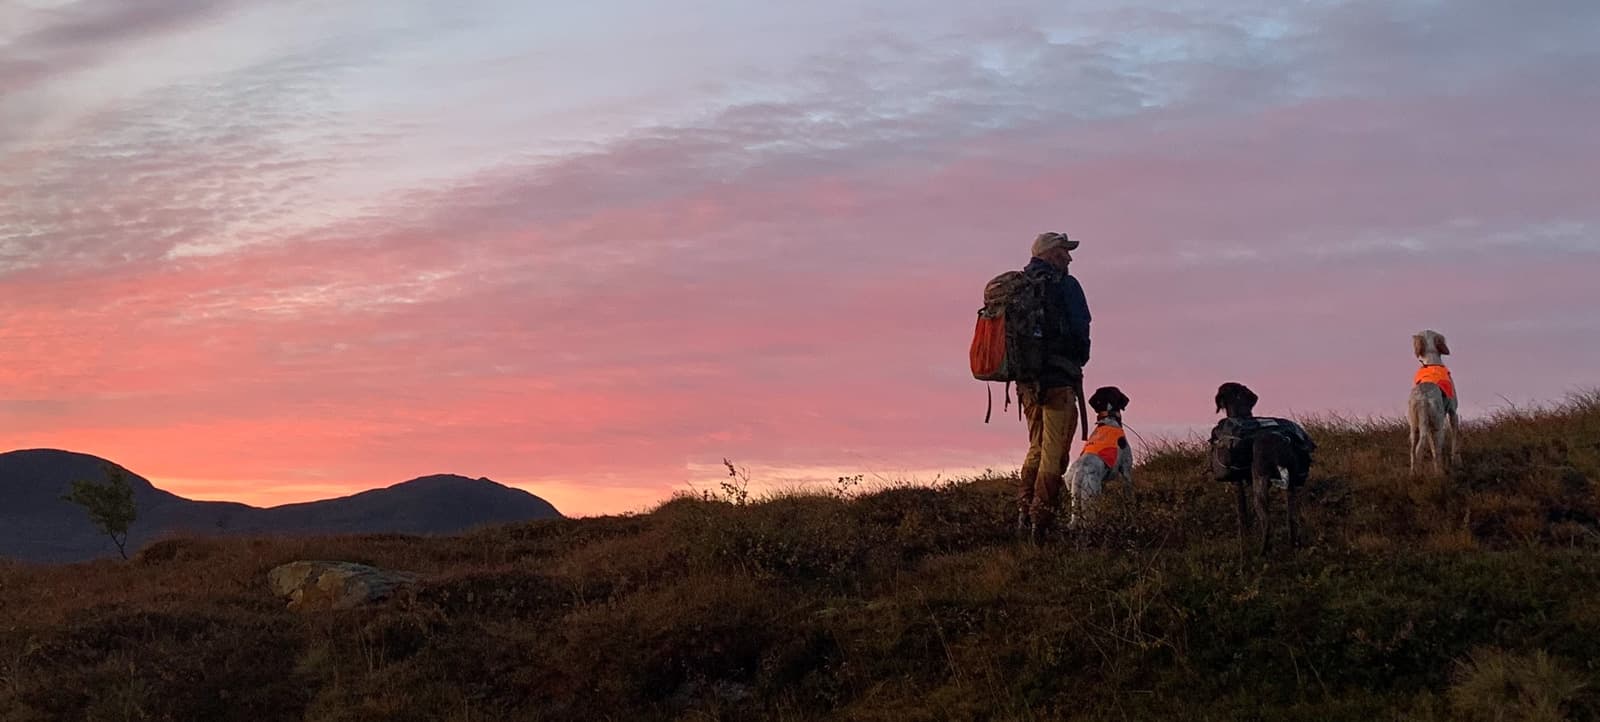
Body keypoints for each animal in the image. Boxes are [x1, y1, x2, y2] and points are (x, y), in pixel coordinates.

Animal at [1062, 387, 1139, 528]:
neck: (1109, 417)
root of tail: (1079, 473)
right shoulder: (1125, 470)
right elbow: (1129, 495)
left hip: (1072, 491)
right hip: (1090, 497)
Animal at [1209, 384, 1312, 553]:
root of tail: (1280, 443)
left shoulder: (1238, 483)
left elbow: (1242, 513)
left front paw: (1244, 537)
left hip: (1260, 485)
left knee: (1267, 521)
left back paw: (1262, 551)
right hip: (1290, 486)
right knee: (1291, 517)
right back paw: (1293, 545)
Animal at [1414, 331, 1465, 477]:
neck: (1431, 361)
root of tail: (1423, 399)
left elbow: (1432, 447)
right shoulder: (1453, 412)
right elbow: (1455, 438)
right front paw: (1457, 461)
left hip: (1416, 427)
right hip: (1438, 425)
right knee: (1436, 450)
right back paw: (1440, 473)